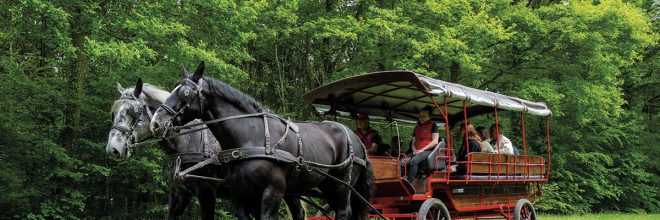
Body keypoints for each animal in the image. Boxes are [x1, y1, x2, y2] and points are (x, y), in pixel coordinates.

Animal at [151, 62, 374, 220]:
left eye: (185, 93)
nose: (156, 122)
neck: (250, 138)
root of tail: (356, 139)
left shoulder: (271, 193)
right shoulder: (239, 196)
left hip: (341, 186)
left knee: (344, 212)